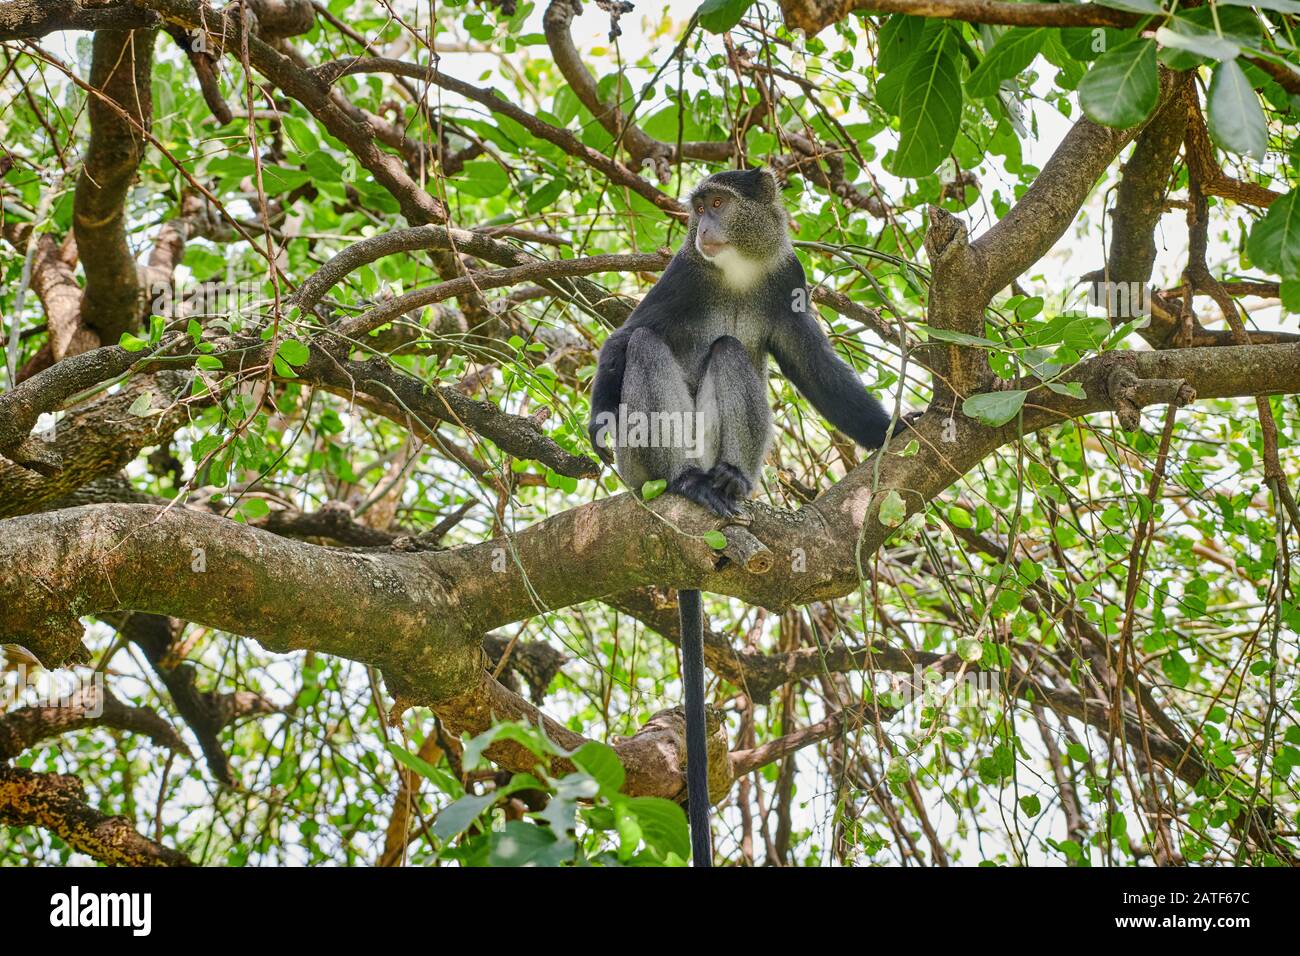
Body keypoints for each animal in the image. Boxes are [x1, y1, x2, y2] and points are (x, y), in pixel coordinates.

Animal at [588, 167, 913, 866]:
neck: (736, 269)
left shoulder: (786, 278)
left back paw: (727, 482)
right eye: (698, 208)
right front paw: (597, 424)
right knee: (648, 346)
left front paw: (894, 429)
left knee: (732, 350)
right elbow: (625, 337)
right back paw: (681, 482)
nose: (703, 227)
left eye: (718, 203)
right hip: (641, 463)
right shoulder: (681, 274)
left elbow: (811, 366)